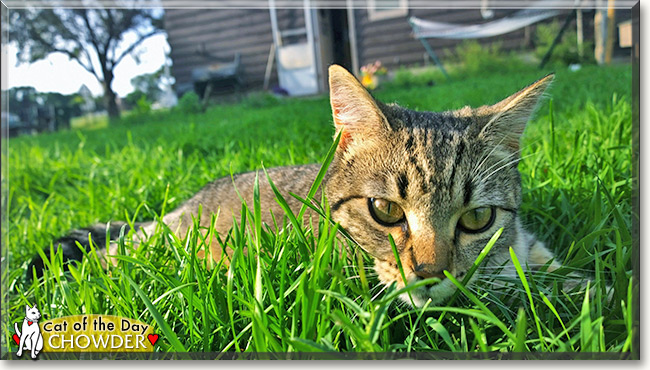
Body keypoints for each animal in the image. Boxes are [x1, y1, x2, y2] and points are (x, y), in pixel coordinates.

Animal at [29, 66, 556, 306]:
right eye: (384, 210)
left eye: (477, 218)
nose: (430, 274)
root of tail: (175, 209)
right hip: (156, 249)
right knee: (107, 255)